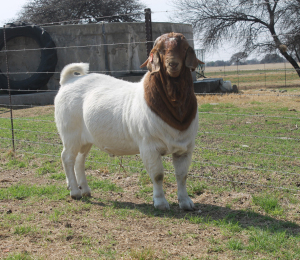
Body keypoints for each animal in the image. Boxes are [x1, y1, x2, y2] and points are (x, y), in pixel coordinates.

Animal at [55, 33, 203, 211]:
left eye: (184, 48)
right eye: (161, 50)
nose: (173, 64)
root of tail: (68, 80)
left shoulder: (185, 148)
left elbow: (182, 175)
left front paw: (186, 202)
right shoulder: (149, 147)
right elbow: (158, 175)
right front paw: (160, 202)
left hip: (85, 140)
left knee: (79, 160)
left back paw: (85, 189)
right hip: (70, 133)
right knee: (67, 158)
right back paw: (75, 192)